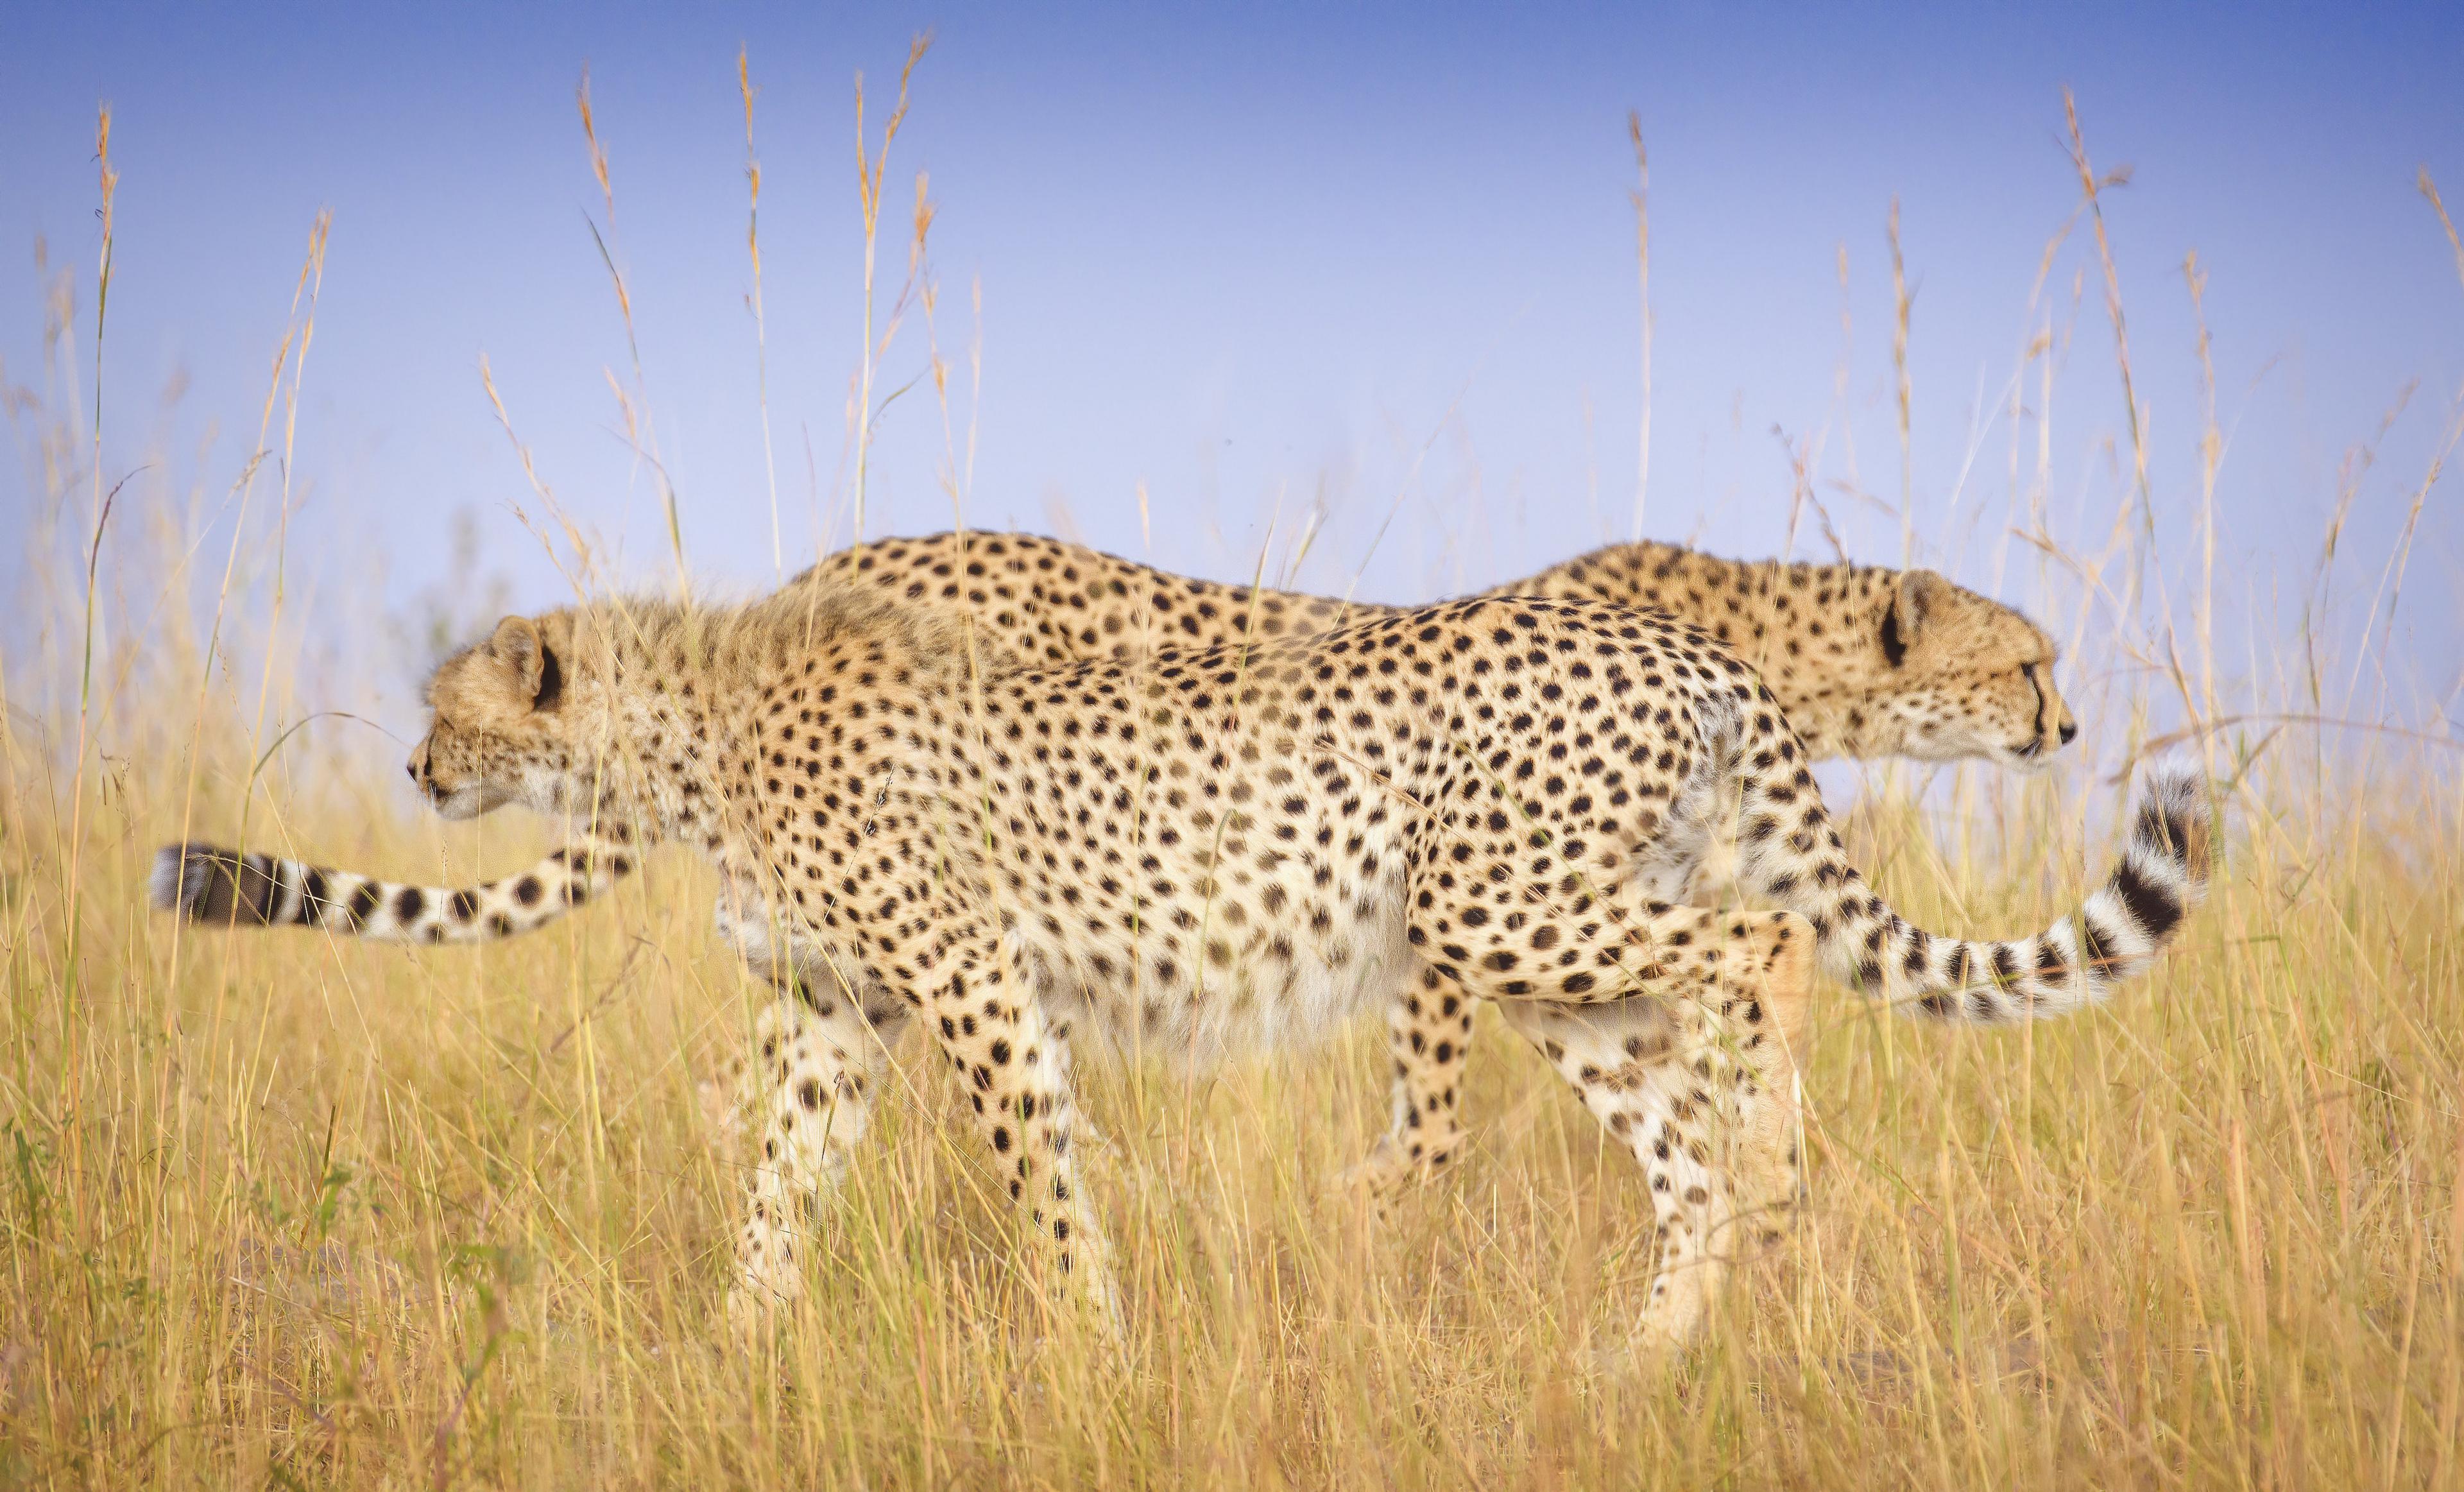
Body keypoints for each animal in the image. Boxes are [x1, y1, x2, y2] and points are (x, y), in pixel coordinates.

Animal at [158, 577, 2218, 1341]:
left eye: (448, 708)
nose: (419, 766)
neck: (691, 723)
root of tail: (1679, 639)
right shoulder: (836, 1012)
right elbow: (776, 1183)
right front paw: (737, 1351)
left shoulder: (972, 986)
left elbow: (1041, 1181)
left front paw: (1092, 1345)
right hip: (1547, 965)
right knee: (1685, 1133)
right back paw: (1647, 1353)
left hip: (1510, 909)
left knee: (1769, 946)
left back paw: (1761, 1209)